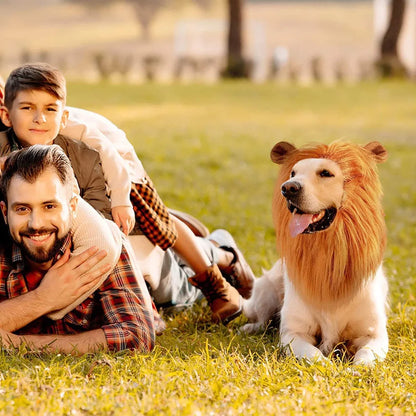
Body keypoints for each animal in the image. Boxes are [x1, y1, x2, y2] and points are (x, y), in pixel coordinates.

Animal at [242, 141, 388, 366]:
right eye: (292, 172)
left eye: (326, 173)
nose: (288, 188)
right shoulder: (293, 333)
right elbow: (315, 356)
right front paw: (329, 368)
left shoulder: (375, 334)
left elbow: (365, 356)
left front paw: (356, 369)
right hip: (265, 289)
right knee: (261, 318)